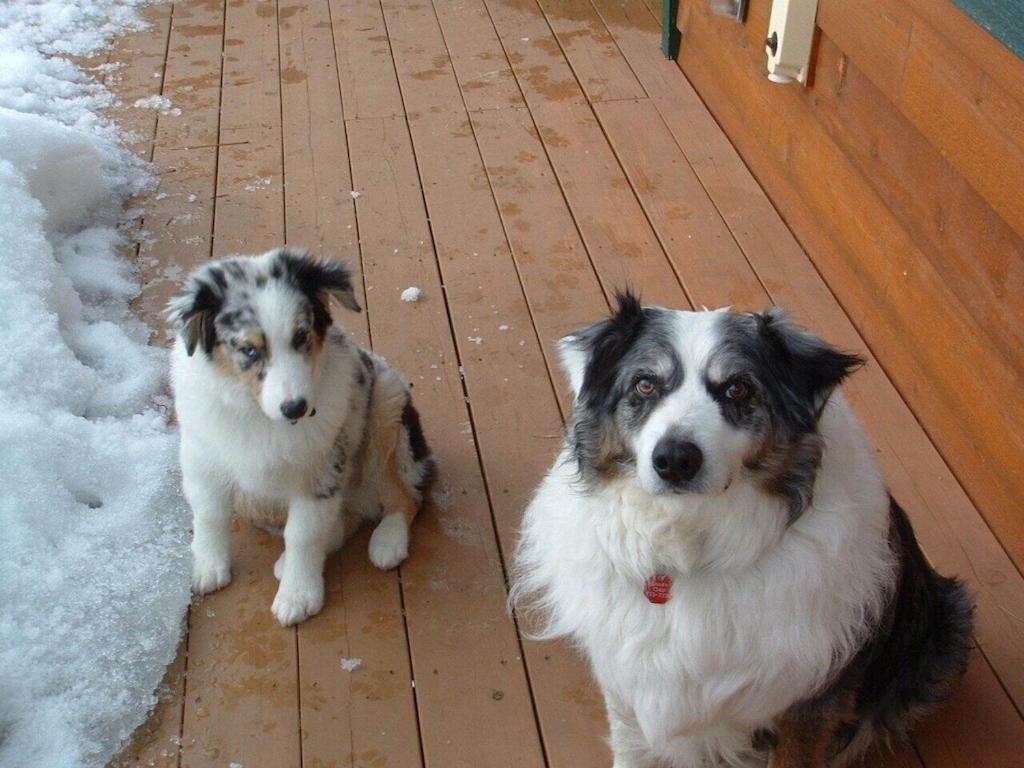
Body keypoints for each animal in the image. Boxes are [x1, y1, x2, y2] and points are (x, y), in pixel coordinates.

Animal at [169, 249, 434, 626]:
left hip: (387, 400)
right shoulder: (201, 455)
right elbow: (209, 511)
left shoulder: (322, 470)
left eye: (301, 337)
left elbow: (303, 534)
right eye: (249, 350)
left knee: (407, 496)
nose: (296, 408)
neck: (258, 414)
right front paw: (207, 566)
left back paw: (387, 542)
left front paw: (298, 596)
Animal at [516, 294, 970, 768]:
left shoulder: (813, 698)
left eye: (738, 389)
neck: (688, 544)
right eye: (645, 385)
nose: (674, 459)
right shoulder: (627, 679)